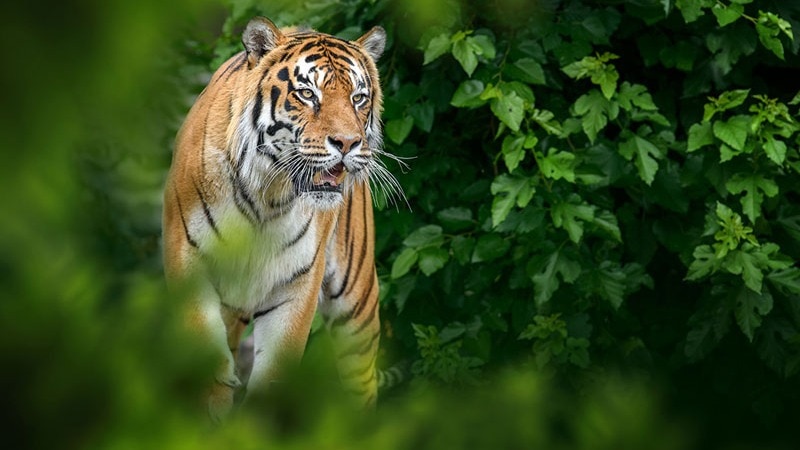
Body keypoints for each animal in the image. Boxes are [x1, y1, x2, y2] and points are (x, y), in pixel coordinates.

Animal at [162, 16, 400, 421]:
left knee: (361, 383)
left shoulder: (296, 284)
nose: (348, 143)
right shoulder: (190, 265)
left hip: (357, 304)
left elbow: (273, 374)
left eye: (358, 98)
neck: (266, 197)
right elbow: (209, 370)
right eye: (307, 94)